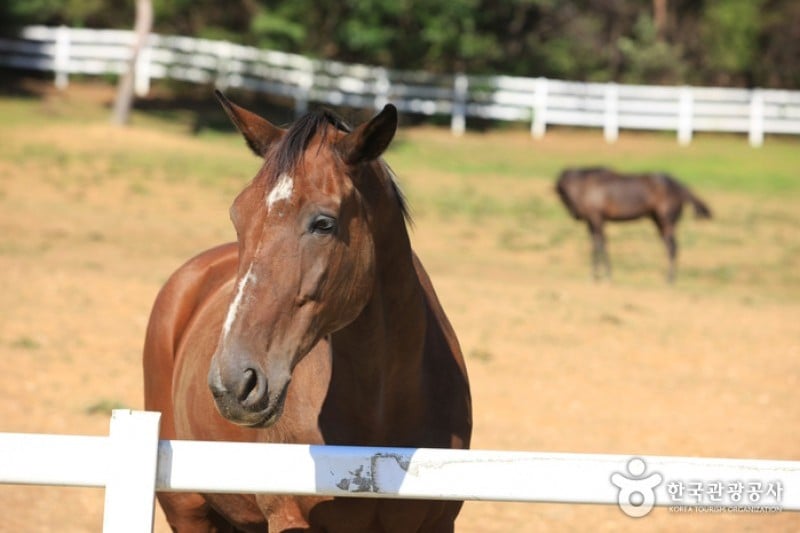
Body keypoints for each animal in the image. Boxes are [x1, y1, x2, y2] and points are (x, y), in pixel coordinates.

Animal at [556, 166, 711, 282]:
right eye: (561, 193)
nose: (575, 214)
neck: (588, 186)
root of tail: (680, 186)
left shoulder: (597, 220)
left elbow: (601, 246)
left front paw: (606, 275)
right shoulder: (592, 222)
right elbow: (595, 246)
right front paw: (595, 275)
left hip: (666, 223)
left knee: (673, 248)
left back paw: (670, 279)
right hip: (658, 222)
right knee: (670, 247)